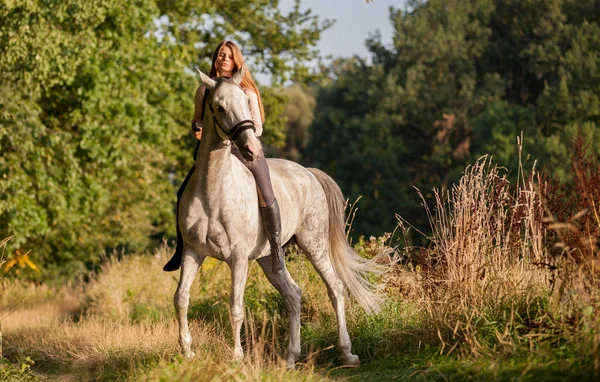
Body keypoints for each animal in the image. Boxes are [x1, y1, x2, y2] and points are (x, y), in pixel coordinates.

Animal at [173, 66, 382, 368]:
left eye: (246, 101)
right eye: (219, 107)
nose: (251, 149)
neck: (213, 191)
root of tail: (308, 172)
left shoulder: (238, 258)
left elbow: (235, 306)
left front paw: (237, 357)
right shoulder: (193, 252)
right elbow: (181, 298)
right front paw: (187, 351)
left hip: (314, 244)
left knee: (335, 288)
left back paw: (347, 352)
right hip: (269, 258)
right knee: (293, 295)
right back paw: (291, 357)